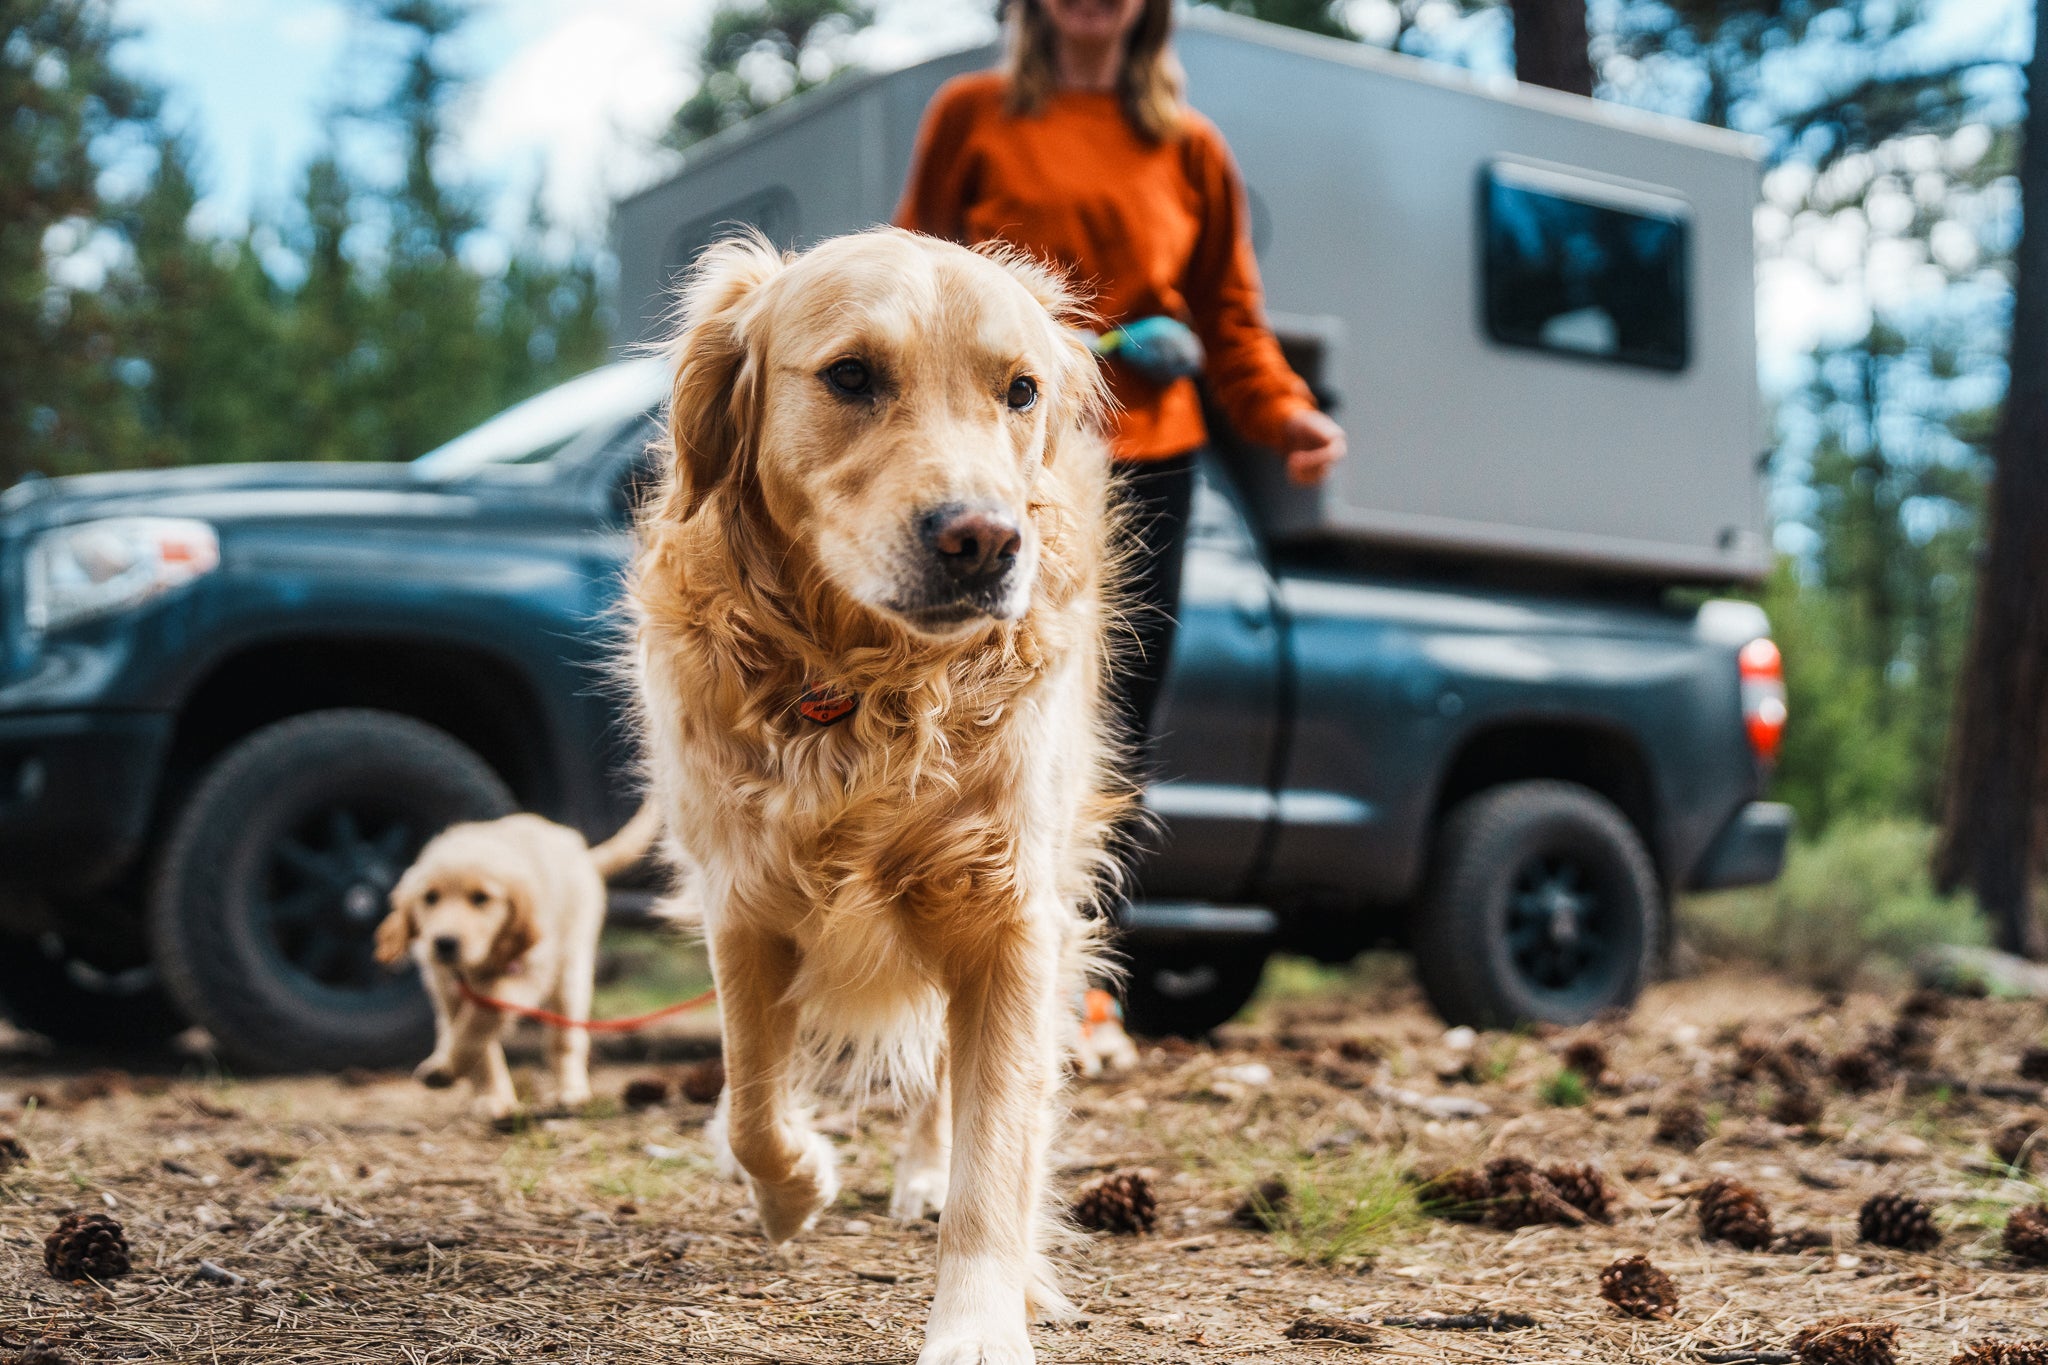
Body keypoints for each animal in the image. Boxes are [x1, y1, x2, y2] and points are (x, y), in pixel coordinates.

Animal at [370, 806, 655, 1113]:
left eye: (481, 898)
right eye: (430, 897)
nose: (444, 943)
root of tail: (579, 852)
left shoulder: (526, 972)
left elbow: (482, 1018)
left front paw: (450, 1070)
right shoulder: (448, 986)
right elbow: (476, 1041)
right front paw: (489, 1094)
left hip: (570, 971)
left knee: (565, 1040)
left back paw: (569, 1091)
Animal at [630, 229, 1130, 1358]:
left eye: (1020, 390)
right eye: (851, 376)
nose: (984, 540)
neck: (866, 690)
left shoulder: (1010, 913)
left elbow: (997, 1145)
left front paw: (978, 1325)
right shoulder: (742, 899)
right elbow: (751, 1100)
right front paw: (793, 1186)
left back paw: (925, 1174)